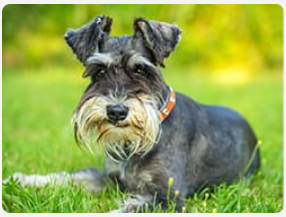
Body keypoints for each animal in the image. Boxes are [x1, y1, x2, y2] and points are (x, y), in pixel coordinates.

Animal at [2, 16, 262, 213]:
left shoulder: (167, 198)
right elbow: (71, 177)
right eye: (99, 71)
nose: (116, 111)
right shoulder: (111, 179)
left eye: (141, 70)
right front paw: (20, 180)